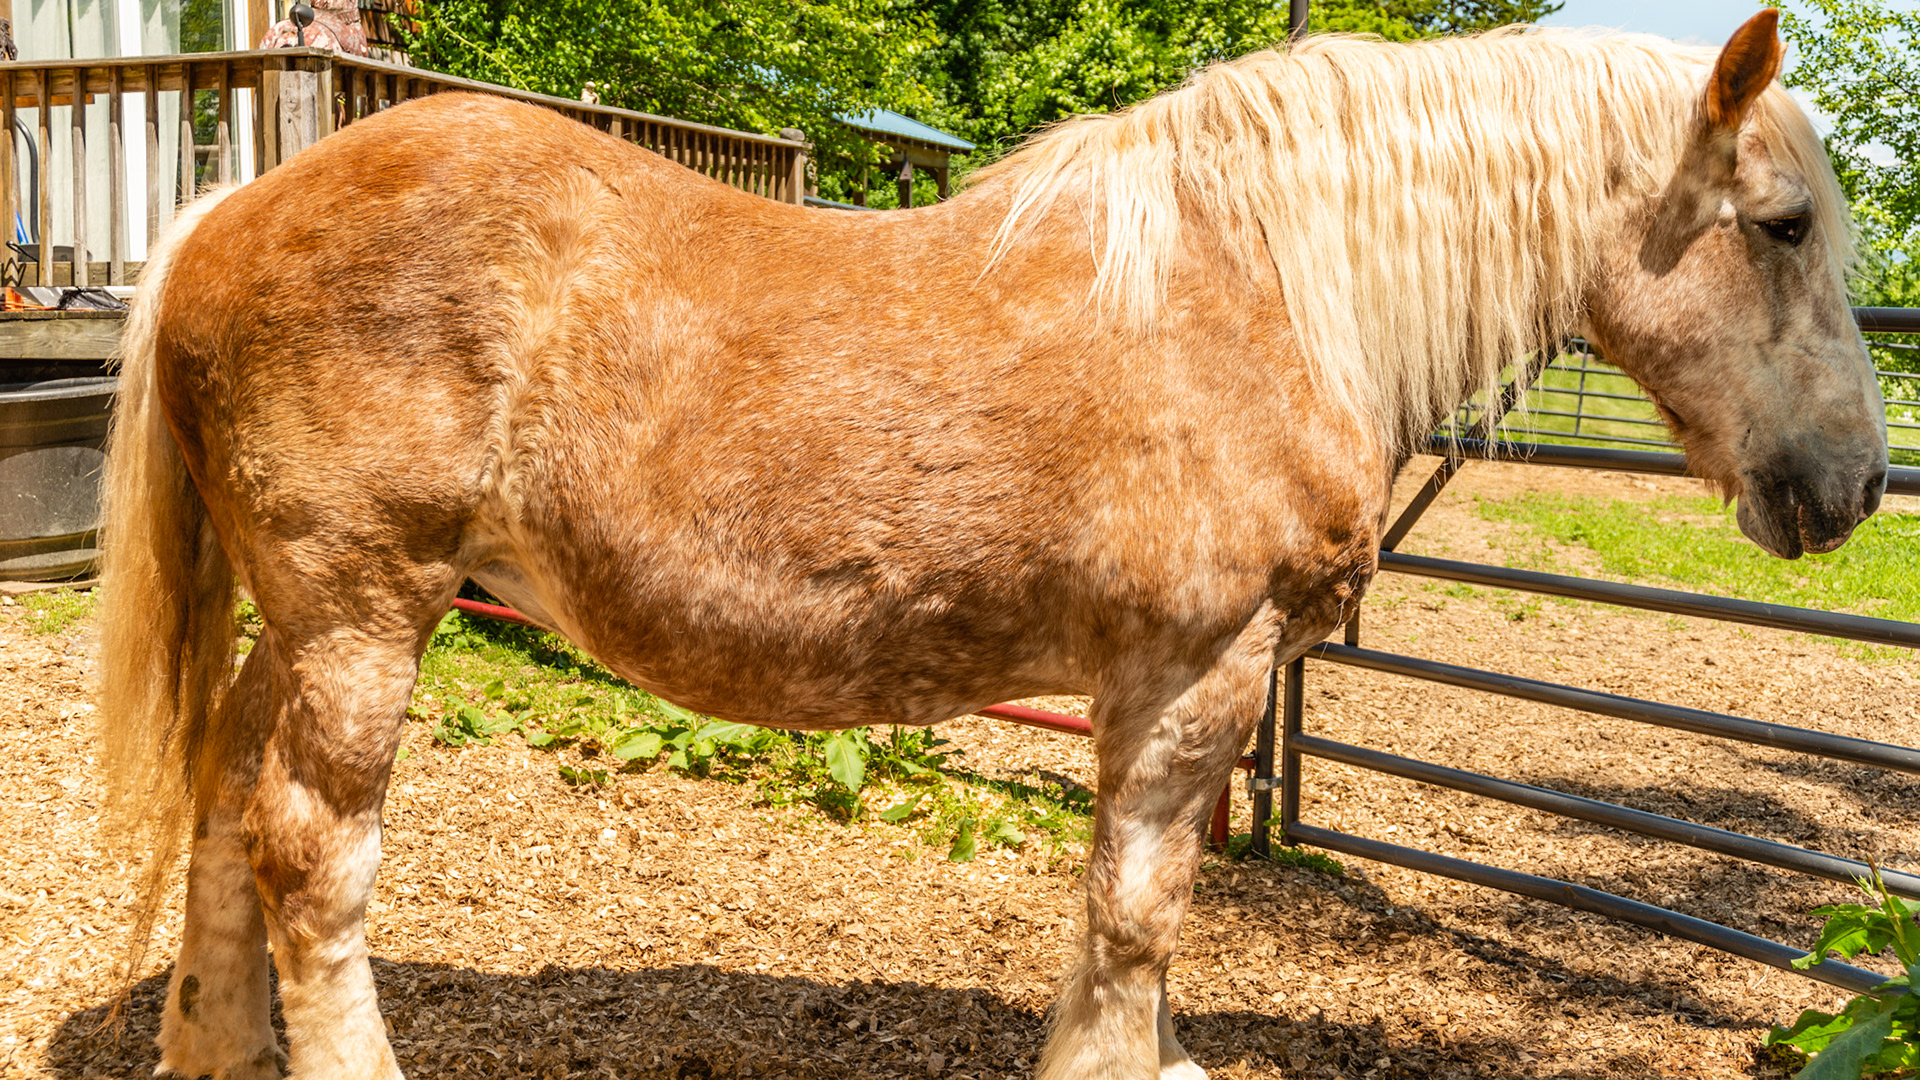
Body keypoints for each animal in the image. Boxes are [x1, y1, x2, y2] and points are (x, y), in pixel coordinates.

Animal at [96, 11, 1885, 1079]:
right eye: (1784, 225)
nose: (1857, 485)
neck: (1264, 292)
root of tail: (230, 209)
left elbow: (1129, 919)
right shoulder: (1196, 674)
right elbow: (1138, 913)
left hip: (314, 619)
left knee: (228, 811)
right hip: (366, 615)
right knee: (314, 854)